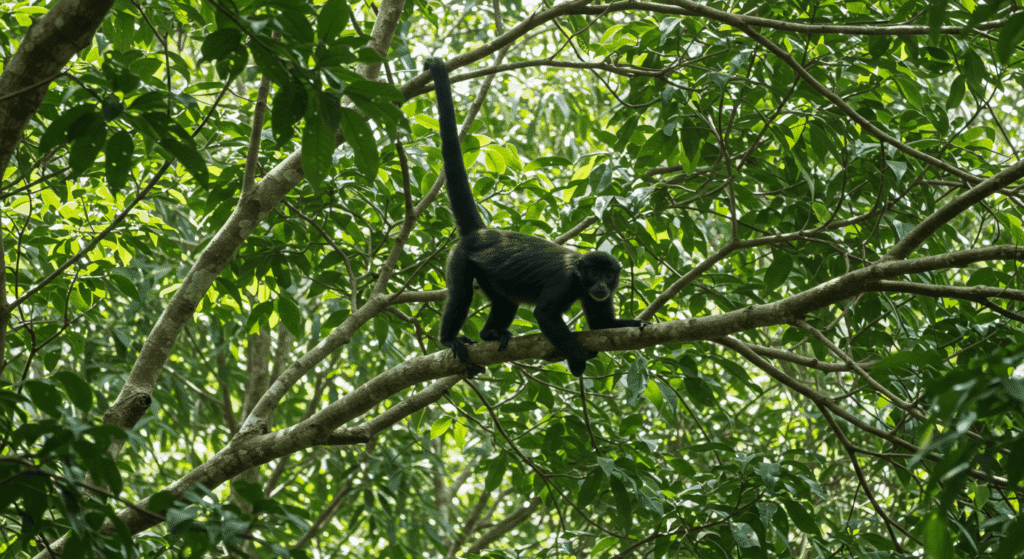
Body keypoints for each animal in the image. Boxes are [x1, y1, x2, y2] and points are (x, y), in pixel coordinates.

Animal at [424, 58, 646, 377]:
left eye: (608, 275)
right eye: (594, 273)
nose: (602, 285)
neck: (579, 278)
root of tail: (482, 233)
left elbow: (601, 325)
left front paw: (639, 324)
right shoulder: (564, 281)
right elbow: (545, 314)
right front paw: (577, 359)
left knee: (505, 301)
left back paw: (490, 334)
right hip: (460, 258)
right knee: (462, 294)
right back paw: (449, 339)